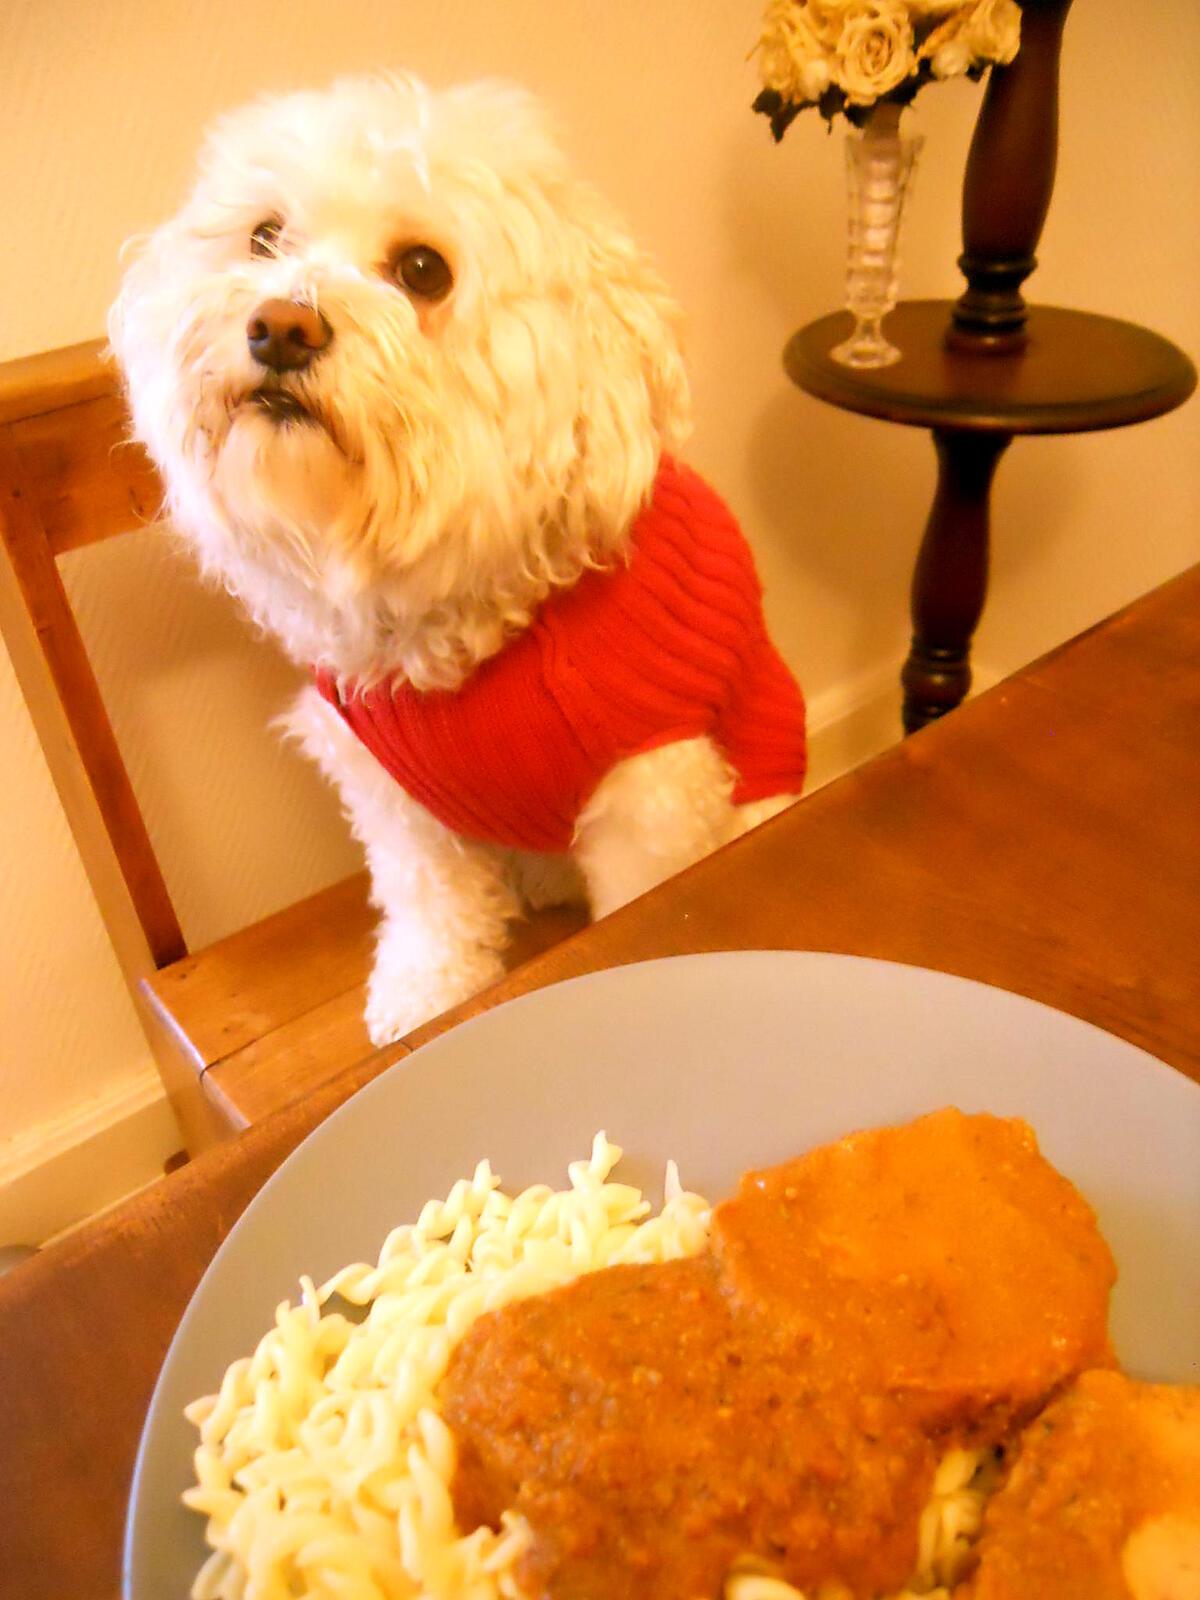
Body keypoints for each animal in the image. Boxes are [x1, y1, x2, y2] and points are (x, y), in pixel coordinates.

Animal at [110, 75, 809, 1043]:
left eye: (422, 271)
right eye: (264, 236)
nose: (279, 326)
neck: (460, 625)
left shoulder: (652, 790)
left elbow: (638, 903)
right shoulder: (396, 796)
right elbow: (430, 906)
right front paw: (425, 995)